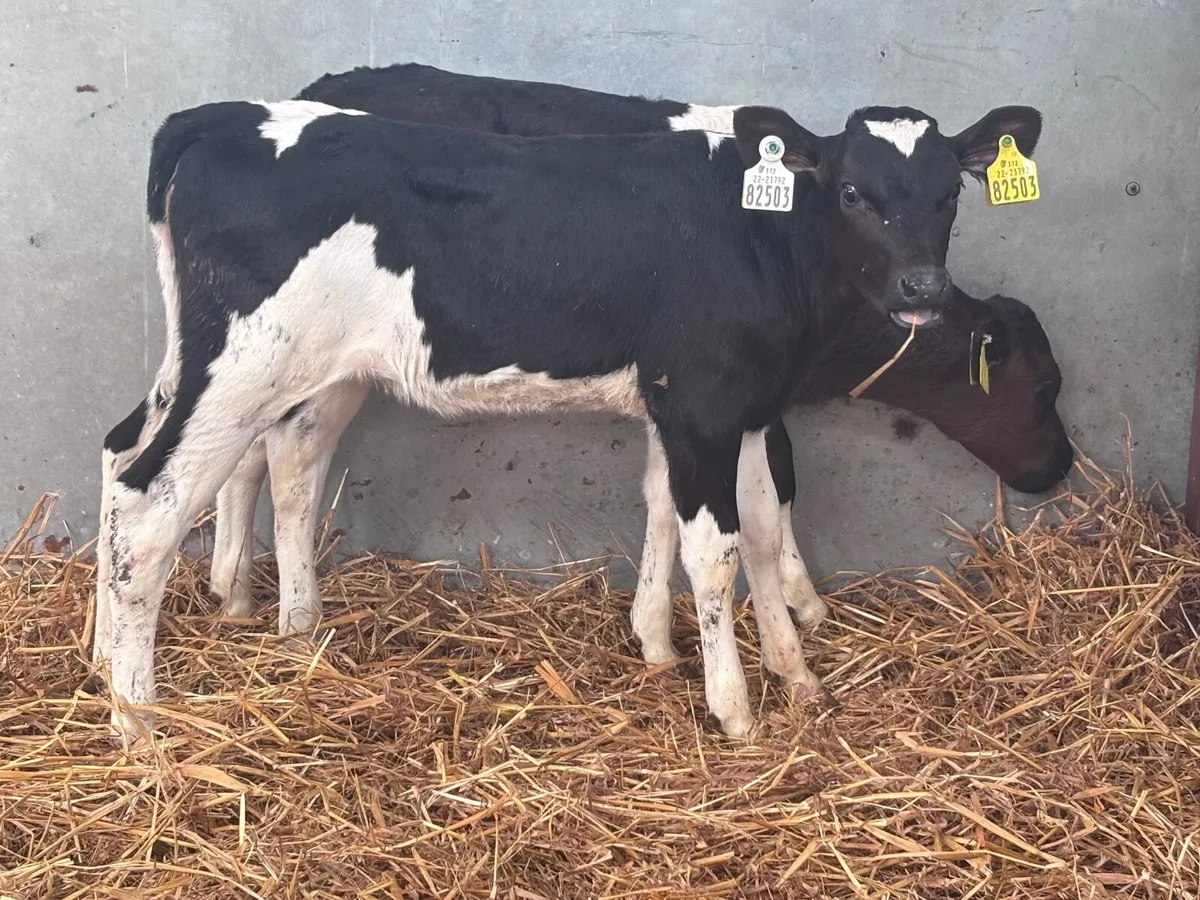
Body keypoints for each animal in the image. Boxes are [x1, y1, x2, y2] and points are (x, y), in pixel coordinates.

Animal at [96, 91, 1043, 743]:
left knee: (138, 454)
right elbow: (717, 550)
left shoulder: (738, 407)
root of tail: (220, 115)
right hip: (245, 369)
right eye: (851, 190)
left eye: (949, 196)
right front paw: (734, 707)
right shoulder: (702, 403)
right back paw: (138, 721)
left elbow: (761, 530)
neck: (758, 235)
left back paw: (150, 653)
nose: (921, 287)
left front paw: (790, 675)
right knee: (150, 507)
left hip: (234, 366)